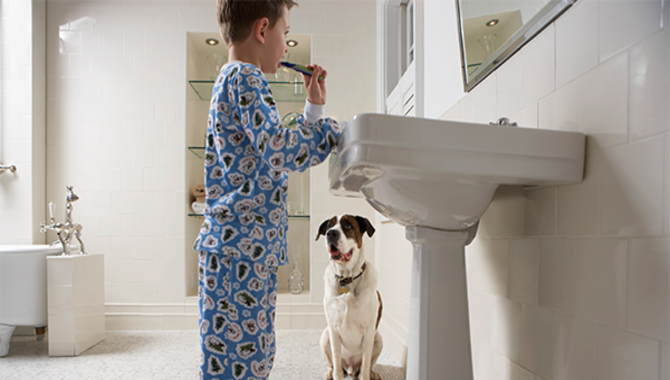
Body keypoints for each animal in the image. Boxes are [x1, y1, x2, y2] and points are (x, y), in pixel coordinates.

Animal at [318, 215, 386, 378]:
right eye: (329, 226)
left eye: (348, 225)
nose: (331, 233)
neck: (347, 278)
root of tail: (350, 367)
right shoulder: (333, 329)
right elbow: (336, 362)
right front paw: (336, 375)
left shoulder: (369, 331)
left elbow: (366, 364)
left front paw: (366, 375)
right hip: (325, 335)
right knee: (332, 364)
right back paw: (329, 373)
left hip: (378, 339)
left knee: (368, 365)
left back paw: (373, 373)